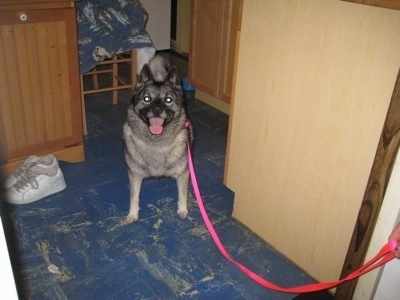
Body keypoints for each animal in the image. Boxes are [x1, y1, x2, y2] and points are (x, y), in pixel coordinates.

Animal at [122, 54, 193, 224]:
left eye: (168, 100)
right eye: (147, 98)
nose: (157, 109)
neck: (156, 143)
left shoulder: (183, 174)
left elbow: (182, 194)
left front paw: (183, 210)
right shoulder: (135, 175)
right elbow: (134, 197)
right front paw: (132, 214)